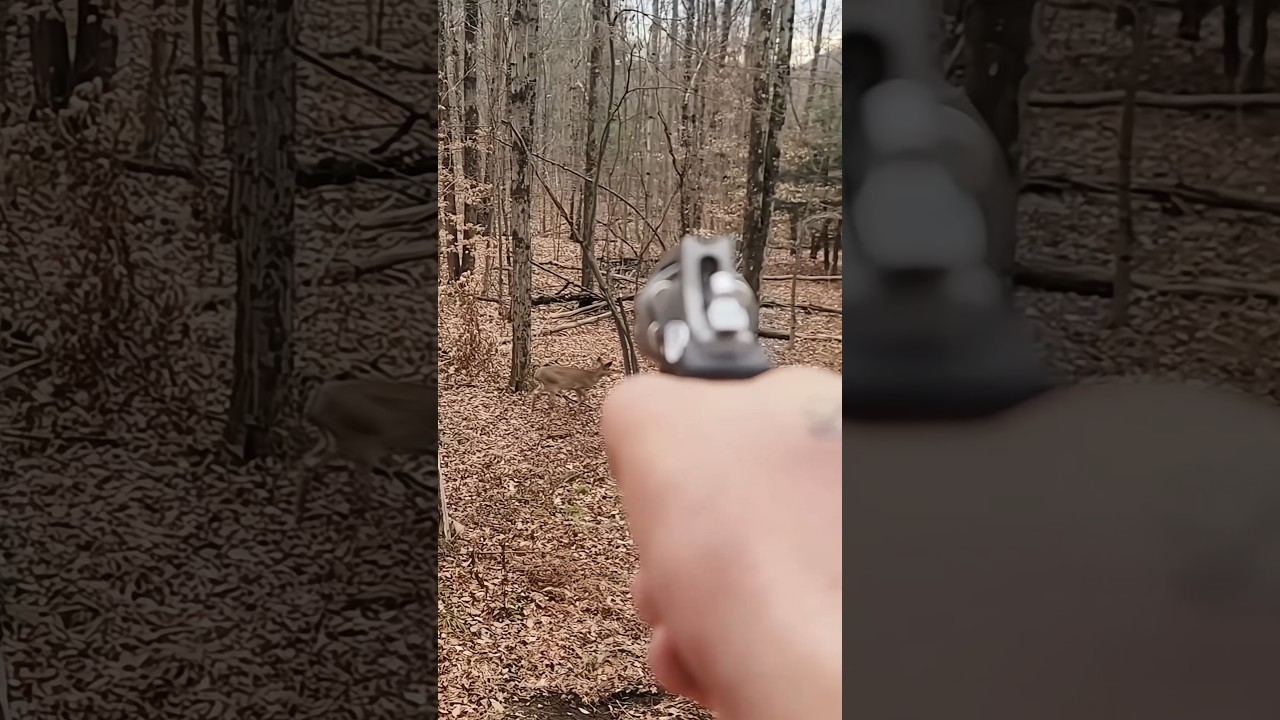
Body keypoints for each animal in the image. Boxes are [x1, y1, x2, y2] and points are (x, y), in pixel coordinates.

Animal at [280, 377, 466, 541]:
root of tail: (314, 404)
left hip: (336, 444)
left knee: (307, 463)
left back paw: (298, 516)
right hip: (358, 445)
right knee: (360, 487)